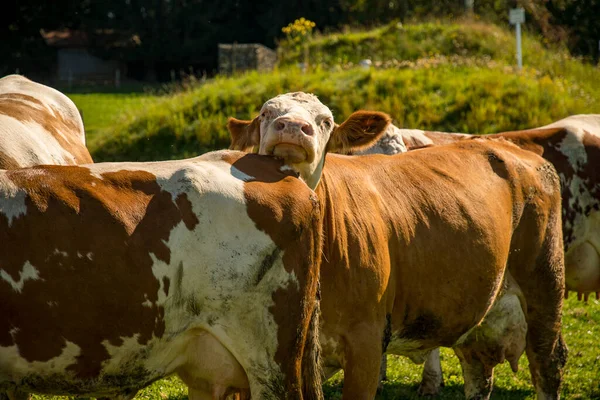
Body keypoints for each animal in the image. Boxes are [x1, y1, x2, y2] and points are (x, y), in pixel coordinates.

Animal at [229, 91, 568, 400]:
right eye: (265, 113)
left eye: (325, 121)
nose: (292, 126)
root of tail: (505, 145)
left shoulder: (366, 344)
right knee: (478, 369)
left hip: (545, 282)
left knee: (547, 362)